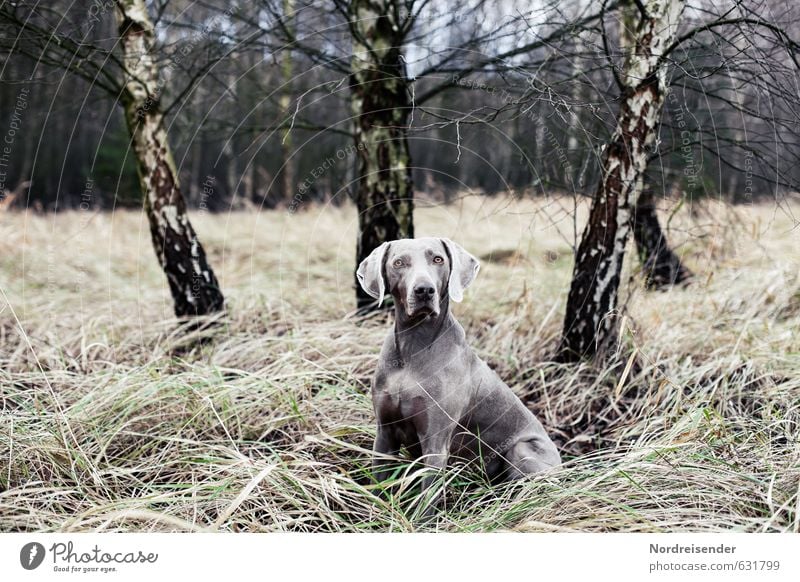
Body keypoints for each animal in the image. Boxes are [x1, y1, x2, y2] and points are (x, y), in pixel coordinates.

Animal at [358, 237, 564, 512]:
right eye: (398, 263)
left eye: (438, 259)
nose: (424, 290)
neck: (414, 345)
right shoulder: (385, 434)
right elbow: (378, 484)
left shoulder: (436, 442)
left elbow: (426, 500)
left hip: (524, 450)